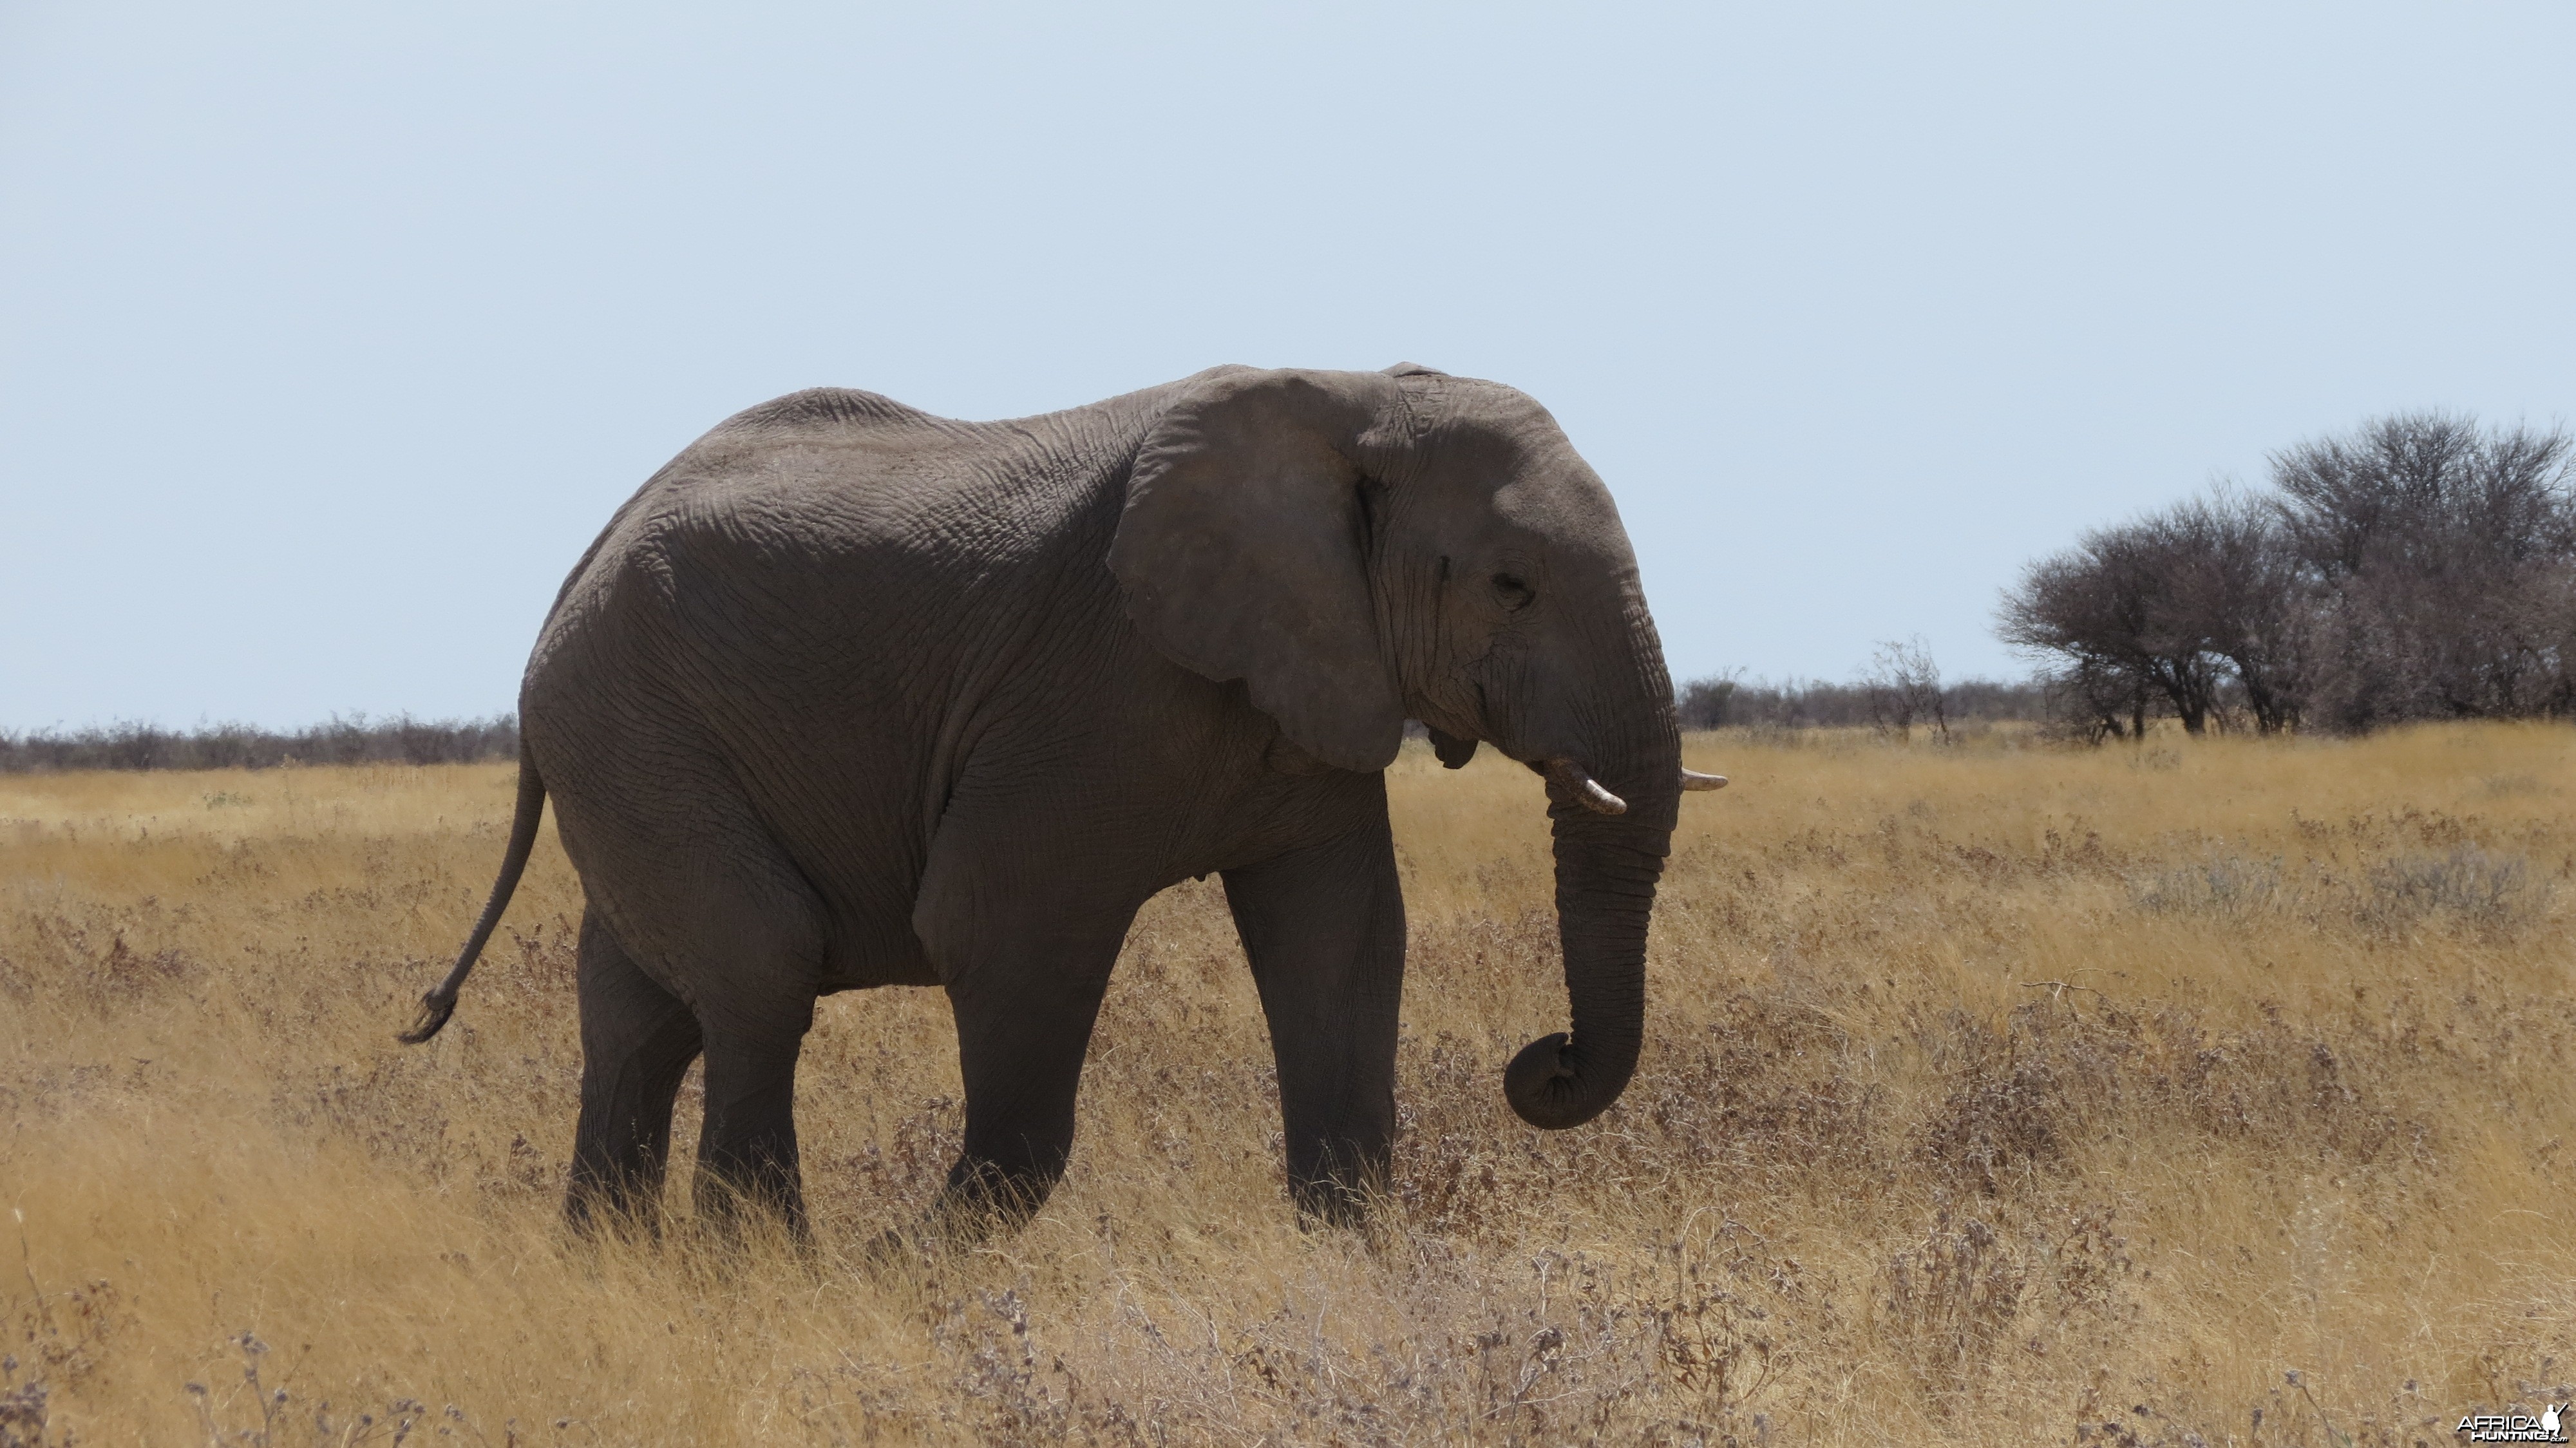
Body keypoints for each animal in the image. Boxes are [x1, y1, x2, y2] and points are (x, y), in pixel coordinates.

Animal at [402, 361, 1721, 1226]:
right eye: (1511, 584)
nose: (1544, 1061)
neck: (1356, 397)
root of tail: (586, 555)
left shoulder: (1312, 685)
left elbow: (1341, 939)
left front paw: (1351, 1265)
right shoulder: (1083, 691)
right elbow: (999, 931)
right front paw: (911, 1274)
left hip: (629, 742)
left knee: (641, 1016)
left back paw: (613, 1268)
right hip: (634, 727)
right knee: (760, 974)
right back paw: (764, 1271)